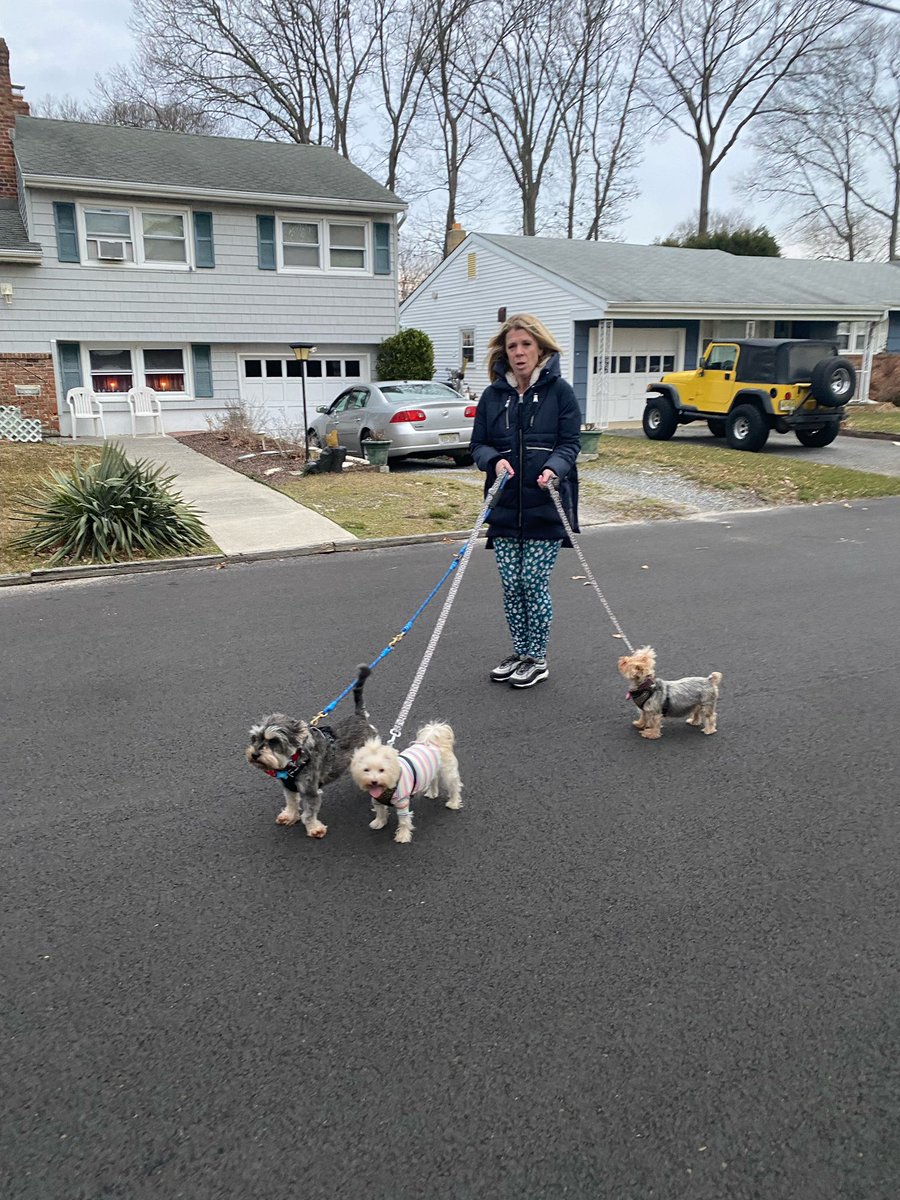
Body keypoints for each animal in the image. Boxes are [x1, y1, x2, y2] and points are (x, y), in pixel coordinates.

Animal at [243, 667, 376, 835]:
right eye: (254, 738)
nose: (254, 755)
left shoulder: (310, 791)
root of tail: (360, 717)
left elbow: (309, 813)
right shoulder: (289, 788)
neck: (293, 763)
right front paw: (289, 816)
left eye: (274, 741)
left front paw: (314, 828)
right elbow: (291, 803)